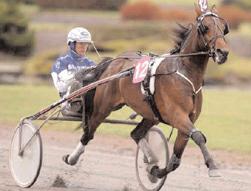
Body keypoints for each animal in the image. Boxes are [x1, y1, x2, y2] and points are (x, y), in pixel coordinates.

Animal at [62, 5, 229, 179]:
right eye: (206, 27)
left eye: (223, 28)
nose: (222, 52)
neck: (184, 73)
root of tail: (114, 61)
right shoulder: (178, 116)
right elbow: (198, 136)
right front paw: (213, 166)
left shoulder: (188, 119)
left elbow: (175, 161)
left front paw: (155, 170)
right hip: (103, 108)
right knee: (88, 133)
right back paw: (72, 158)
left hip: (151, 115)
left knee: (136, 133)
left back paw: (151, 158)